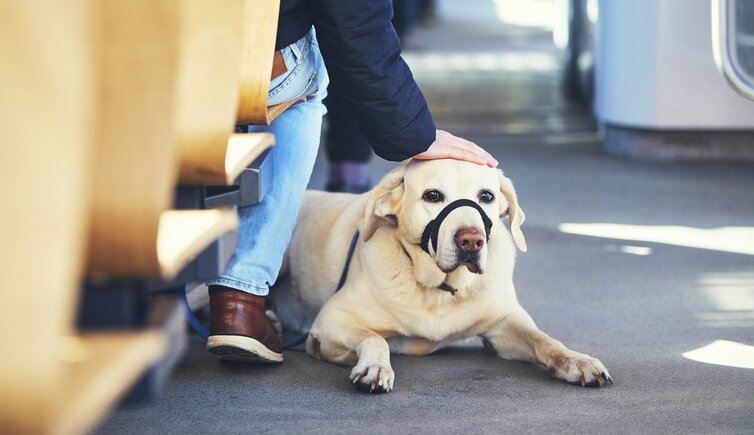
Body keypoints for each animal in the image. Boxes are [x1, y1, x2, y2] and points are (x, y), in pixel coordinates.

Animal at [272, 158, 612, 394]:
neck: (440, 290)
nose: (471, 240)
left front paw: (576, 360)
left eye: (486, 196)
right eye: (432, 195)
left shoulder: (504, 323)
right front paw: (375, 367)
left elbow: (544, 340)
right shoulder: (332, 319)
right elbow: (374, 337)